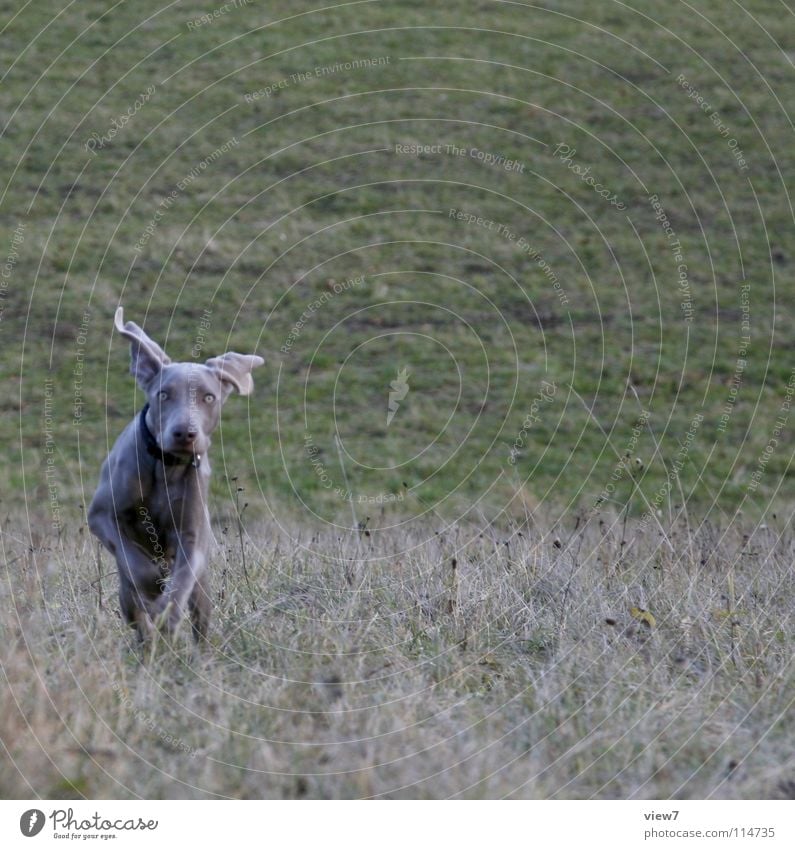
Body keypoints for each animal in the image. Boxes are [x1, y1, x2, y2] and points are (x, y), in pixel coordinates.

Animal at [89, 308, 266, 640]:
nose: (185, 433)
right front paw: (152, 588)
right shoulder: (101, 515)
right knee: (134, 607)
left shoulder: (192, 538)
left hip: (203, 589)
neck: (166, 466)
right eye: (163, 395)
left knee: (199, 619)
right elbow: (133, 561)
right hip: (125, 593)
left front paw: (167, 614)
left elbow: (182, 582)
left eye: (209, 397)